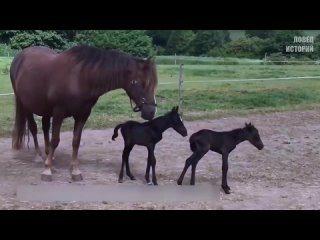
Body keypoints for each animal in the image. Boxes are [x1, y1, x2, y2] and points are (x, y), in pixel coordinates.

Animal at [10, 45, 158, 181]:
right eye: (142, 83)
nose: (151, 111)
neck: (80, 78)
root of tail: (20, 56)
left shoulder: (82, 115)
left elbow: (76, 141)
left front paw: (75, 171)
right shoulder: (58, 113)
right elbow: (55, 140)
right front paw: (47, 171)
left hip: (45, 109)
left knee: (45, 128)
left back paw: (49, 156)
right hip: (26, 105)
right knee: (34, 129)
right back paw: (39, 156)